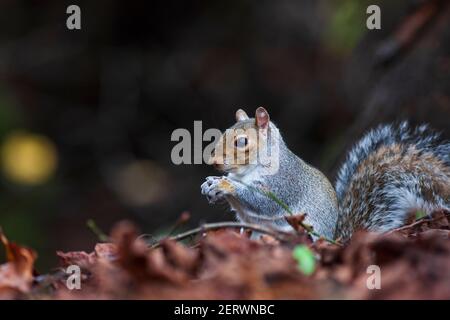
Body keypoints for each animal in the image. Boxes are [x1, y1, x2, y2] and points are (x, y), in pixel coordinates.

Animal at [201, 107, 450, 240]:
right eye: (224, 132)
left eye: (242, 142)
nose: (213, 162)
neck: (246, 173)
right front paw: (211, 185)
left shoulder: (284, 182)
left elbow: (264, 201)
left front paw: (225, 186)